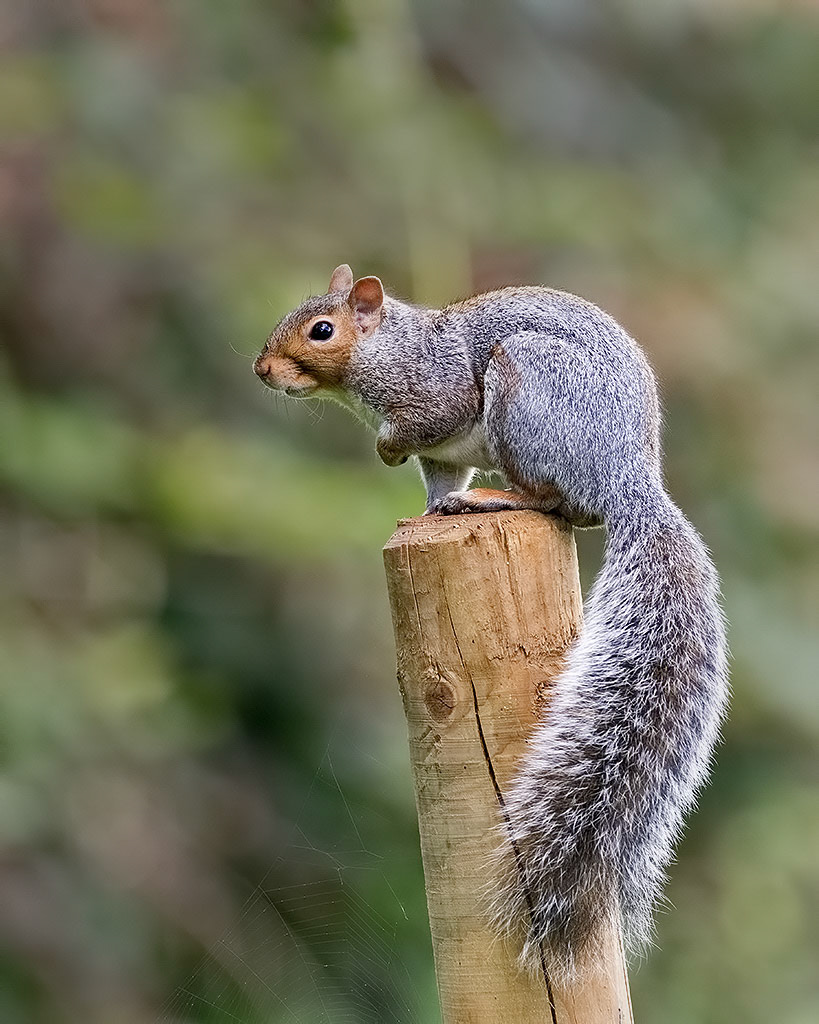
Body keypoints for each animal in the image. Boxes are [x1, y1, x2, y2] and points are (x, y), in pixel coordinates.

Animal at [254, 264, 729, 981]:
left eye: (321, 330)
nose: (261, 369)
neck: (388, 349)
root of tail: (627, 480)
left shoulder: (437, 392)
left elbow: (426, 421)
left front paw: (386, 449)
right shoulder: (444, 454)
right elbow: (437, 477)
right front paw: (426, 511)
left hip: (523, 393)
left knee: (554, 501)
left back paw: (498, 498)